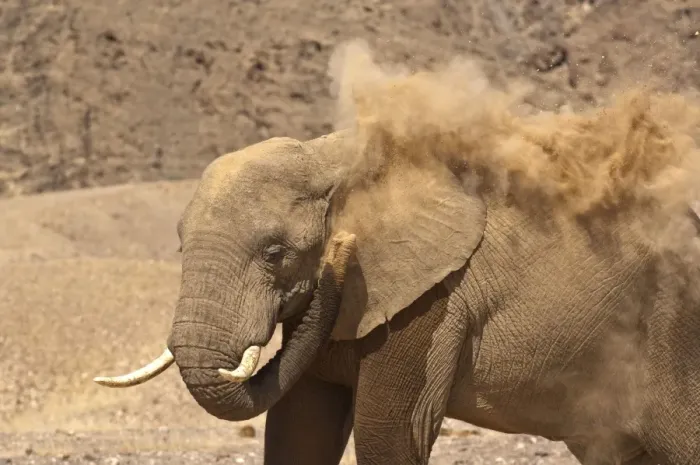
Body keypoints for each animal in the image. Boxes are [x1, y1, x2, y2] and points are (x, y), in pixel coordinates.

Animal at [94, 130, 700, 465]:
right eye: (179, 245)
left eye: (274, 252)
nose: (339, 250)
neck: (330, 155)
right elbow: (299, 429)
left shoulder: (432, 300)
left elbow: (389, 435)